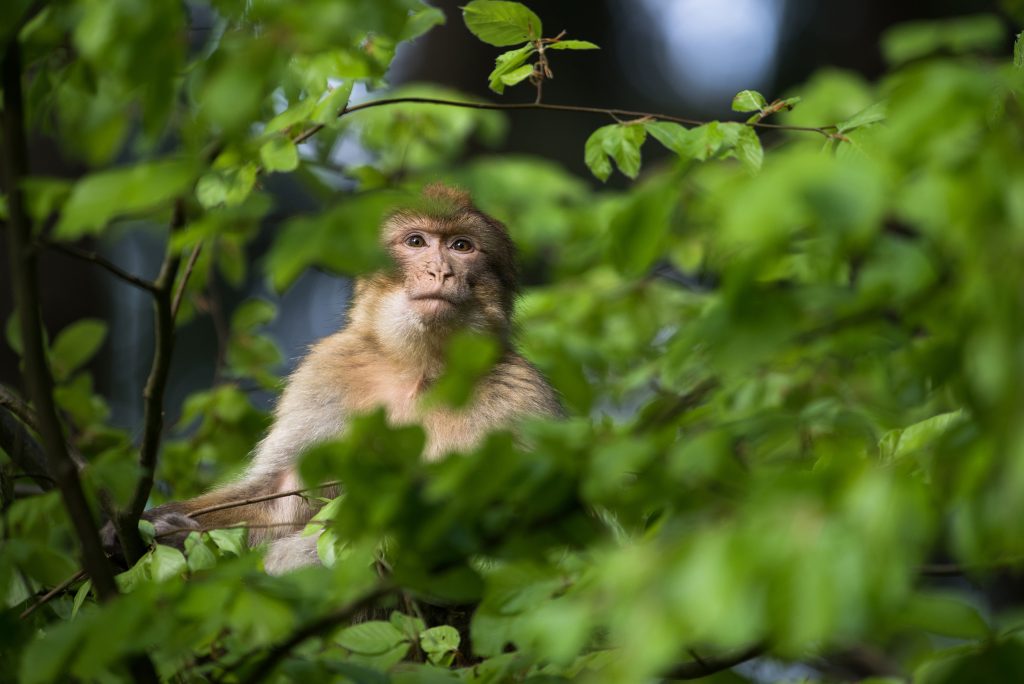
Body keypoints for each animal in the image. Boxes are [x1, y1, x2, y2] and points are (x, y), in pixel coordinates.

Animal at [115, 184, 565, 573]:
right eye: (416, 242)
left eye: (461, 246)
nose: (441, 271)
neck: (419, 368)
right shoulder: (328, 371)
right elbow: (282, 498)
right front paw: (153, 533)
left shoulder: (520, 393)